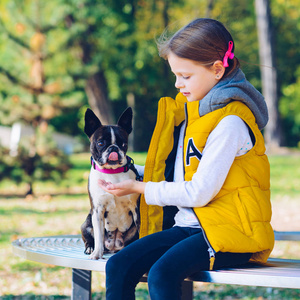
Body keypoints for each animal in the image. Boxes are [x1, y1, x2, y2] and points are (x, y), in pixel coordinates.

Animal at [80, 108, 140, 260]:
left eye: (123, 143)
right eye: (101, 143)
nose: (113, 148)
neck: (112, 172)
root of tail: (113, 247)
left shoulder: (136, 209)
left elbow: (141, 230)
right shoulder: (97, 210)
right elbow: (99, 236)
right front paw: (96, 253)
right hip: (87, 222)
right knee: (92, 237)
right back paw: (90, 248)